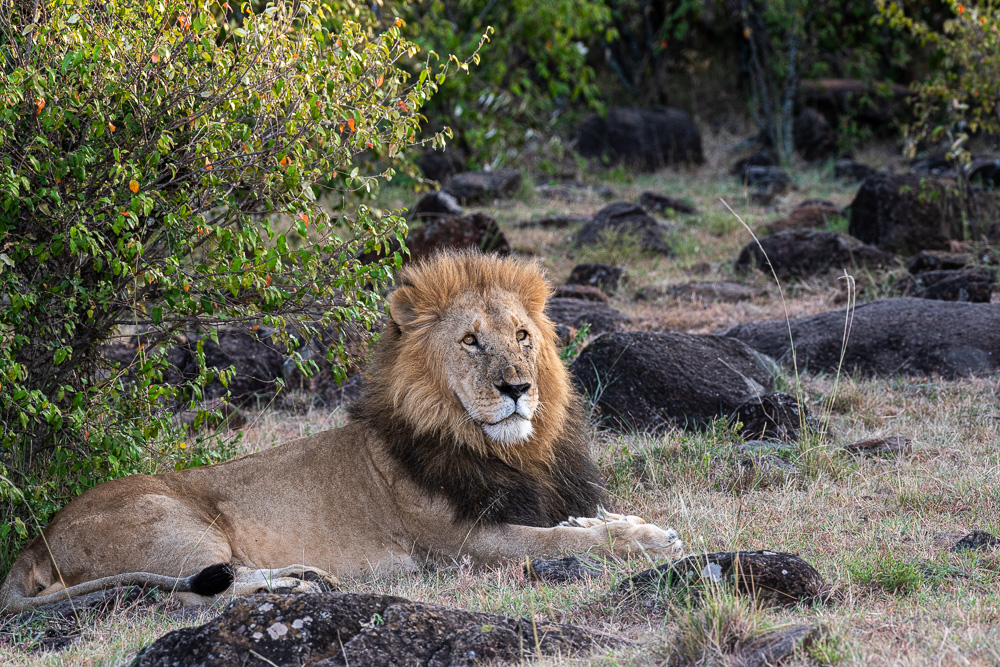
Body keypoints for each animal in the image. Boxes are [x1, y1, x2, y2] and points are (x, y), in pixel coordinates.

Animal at [0, 251, 682, 614]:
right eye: (470, 341)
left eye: (522, 336)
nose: (518, 387)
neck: (511, 451)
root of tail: (37, 539)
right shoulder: (460, 543)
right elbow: (560, 542)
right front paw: (642, 543)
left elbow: (577, 522)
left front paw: (636, 525)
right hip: (179, 529)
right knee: (199, 593)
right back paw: (299, 582)